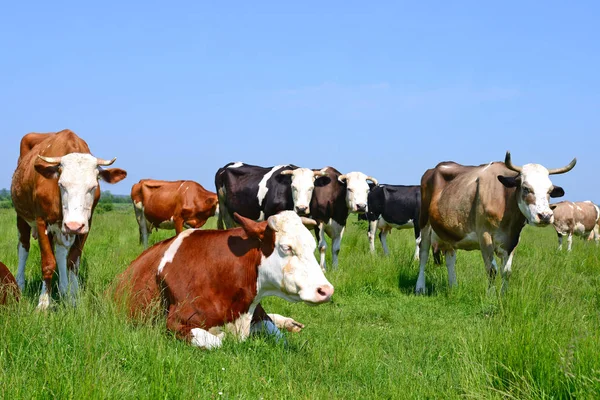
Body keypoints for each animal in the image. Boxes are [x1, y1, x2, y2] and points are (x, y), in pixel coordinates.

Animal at [10, 130, 126, 310]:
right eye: (61, 184)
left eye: (93, 186)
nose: (73, 225)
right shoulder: (41, 220)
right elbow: (48, 263)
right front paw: (43, 303)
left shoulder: (86, 225)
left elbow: (72, 262)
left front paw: (72, 299)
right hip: (22, 216)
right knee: (23, 248)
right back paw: (20, 284)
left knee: (59, 252)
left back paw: (64, 289)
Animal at [115, 211, 336, 348]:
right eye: (286, 247)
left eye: (313, 246)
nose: (326, 290)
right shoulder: (172, 323)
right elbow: (217, 341)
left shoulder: (255, 311)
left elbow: (278, 335)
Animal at [414, 152, 576, 292]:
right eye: (526, 188)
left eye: (549, 191)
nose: (545, 216)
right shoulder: (484, 235)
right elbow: (492, 270)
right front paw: (491, 296)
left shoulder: (513, 240)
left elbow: (507, 272)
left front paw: (504, 295)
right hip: (424, 224)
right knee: (423, 255)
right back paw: (420, 287)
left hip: (449, 231)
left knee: (450, 258)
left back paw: (453, 286)